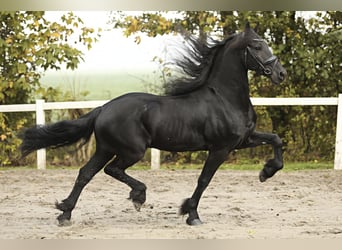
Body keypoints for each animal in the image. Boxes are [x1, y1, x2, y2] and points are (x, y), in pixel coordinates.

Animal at [20, 23, 286, 226]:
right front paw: (191, 214)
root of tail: (103, 109)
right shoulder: (220, 148)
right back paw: (138, 196)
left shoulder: (243, 140)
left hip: (105, 148)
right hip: (132, 150)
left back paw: (65, 213)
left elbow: (276, 139)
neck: (225, 98)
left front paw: (266, 172)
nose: (280, 74)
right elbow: (203, 180)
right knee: (111, 170)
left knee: (86, 173)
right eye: (257, 46)